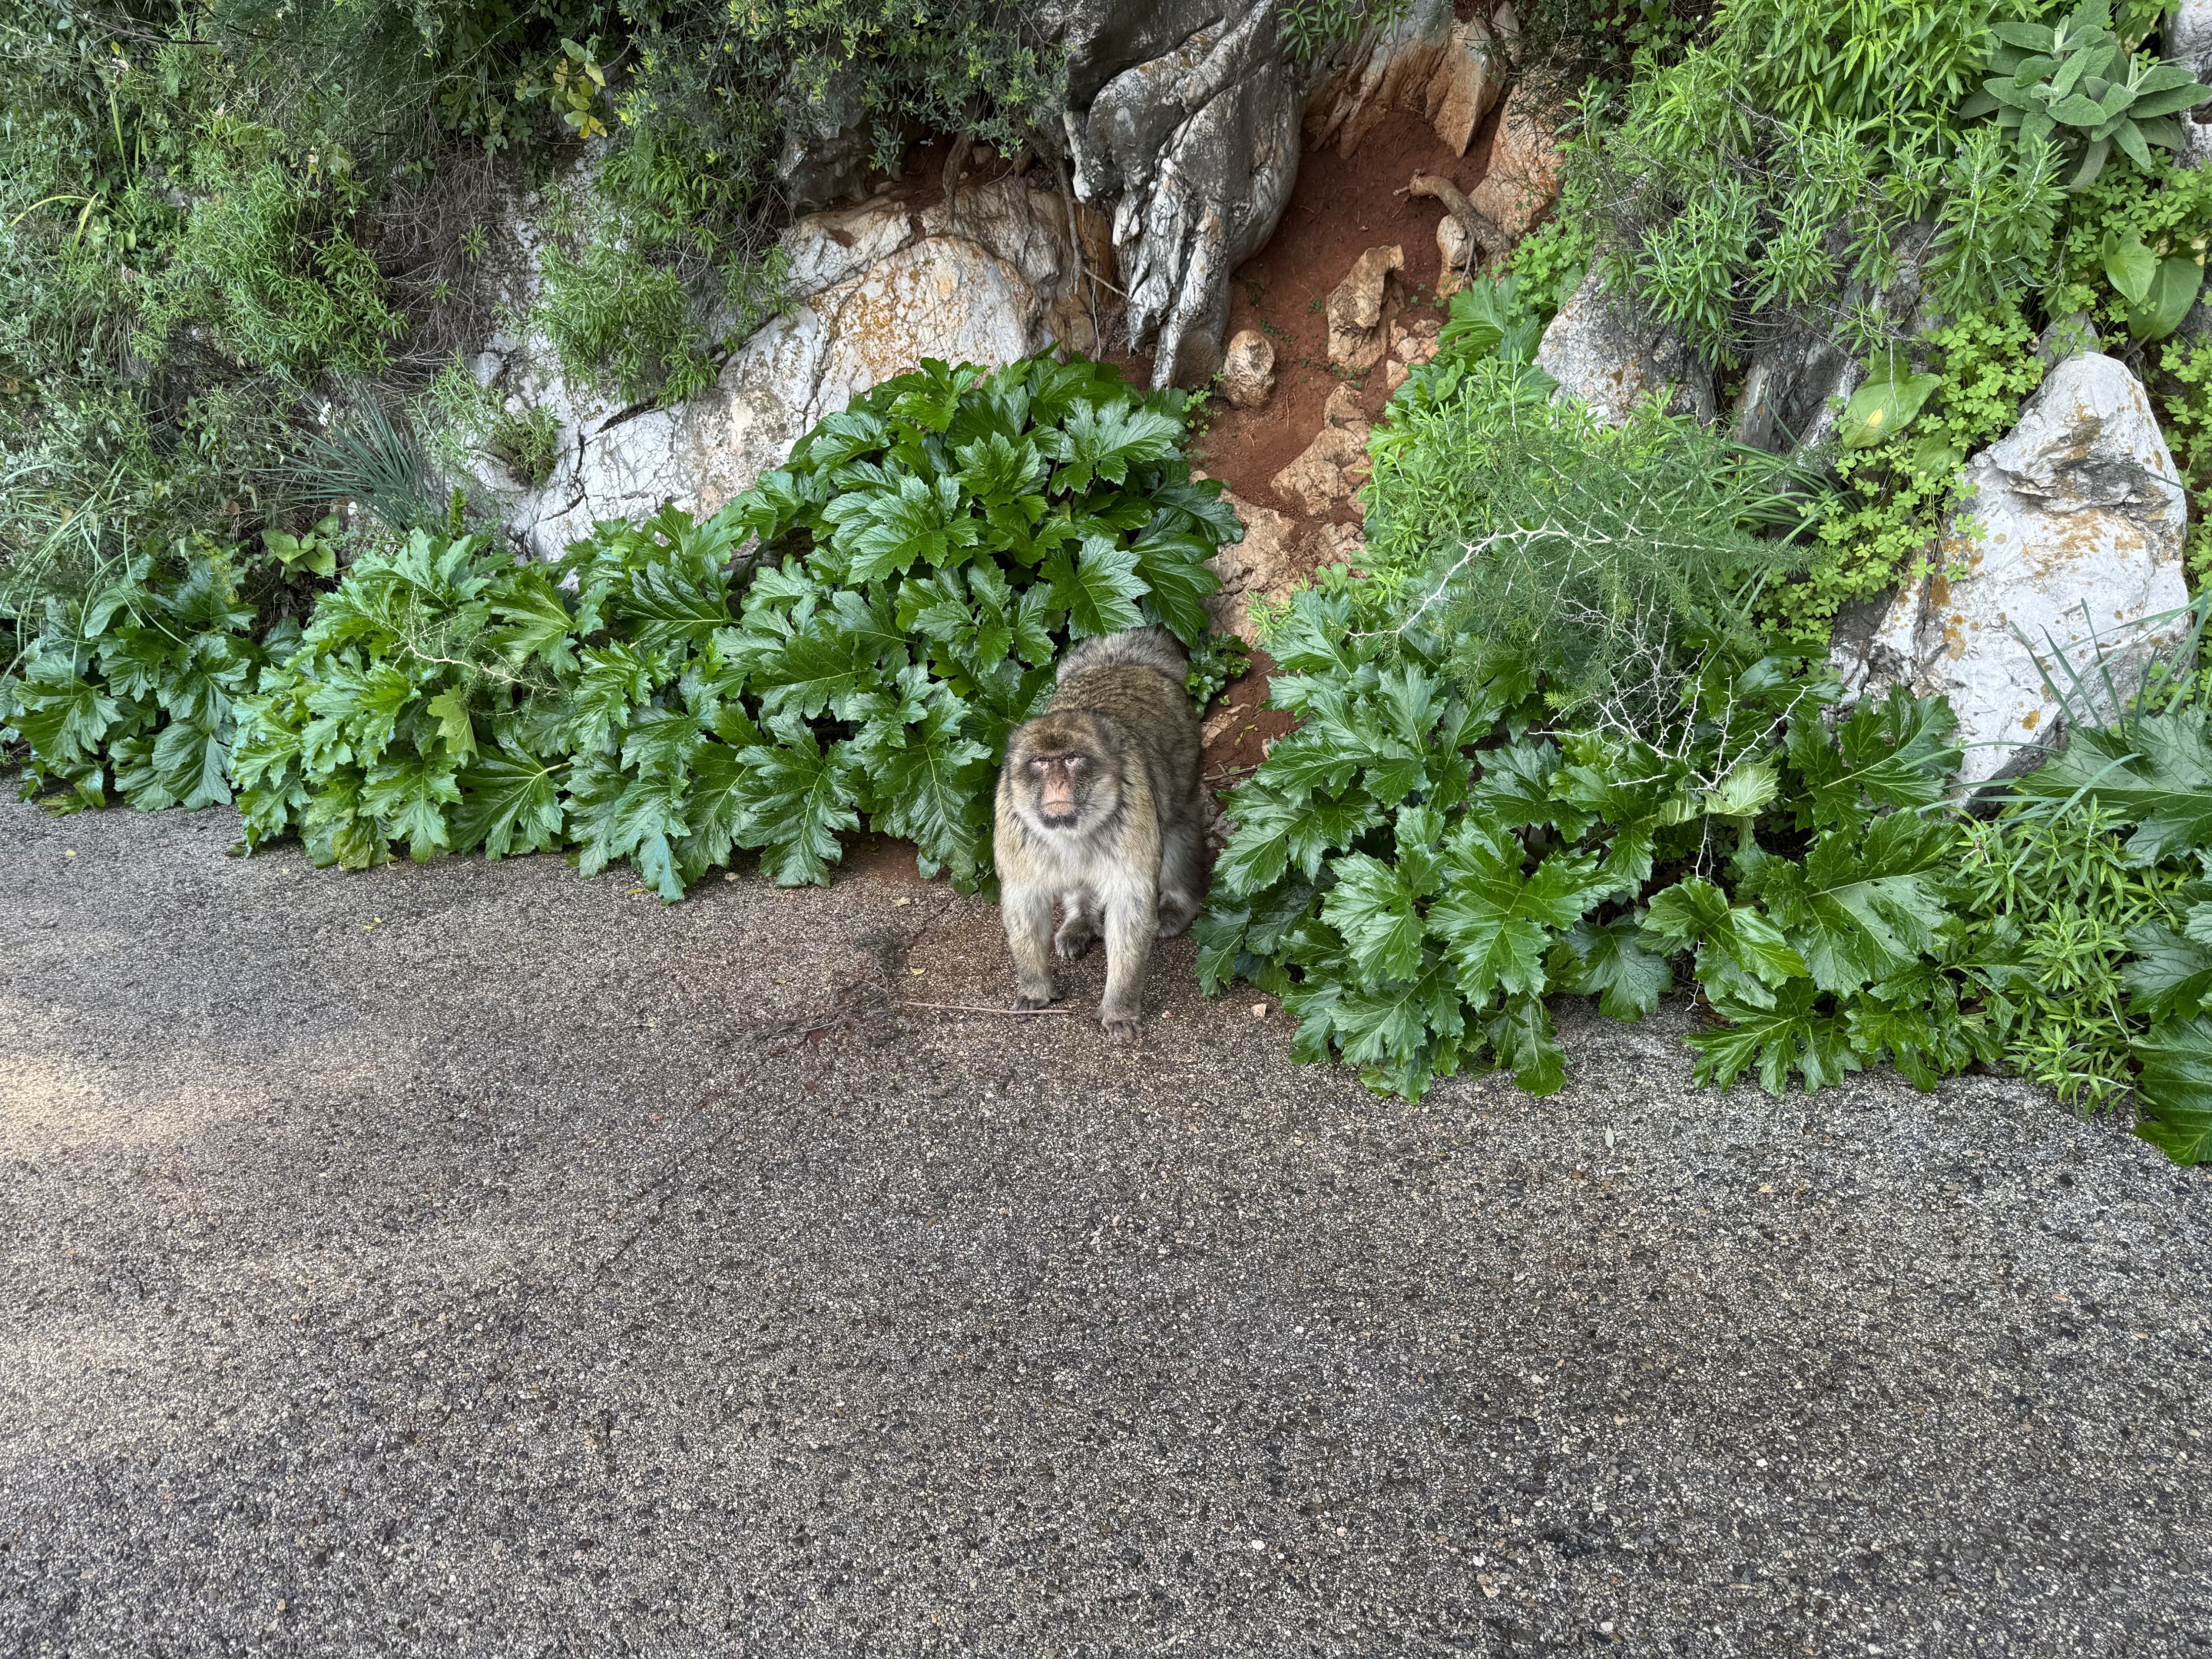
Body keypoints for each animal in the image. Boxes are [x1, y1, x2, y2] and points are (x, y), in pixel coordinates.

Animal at [993, 626, 1207, 1041]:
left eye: (1072, 759)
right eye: (1041, 763)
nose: (1057, 783)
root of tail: (1121, 659)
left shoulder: (1133, 814)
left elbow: (1130, 909)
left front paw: (1119, 1008)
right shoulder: (1012, 824)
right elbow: (1025, 902)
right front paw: (1035, 988)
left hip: (1186, 756)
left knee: (1178, 828)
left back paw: (1177, 905)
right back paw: (1080, 921)